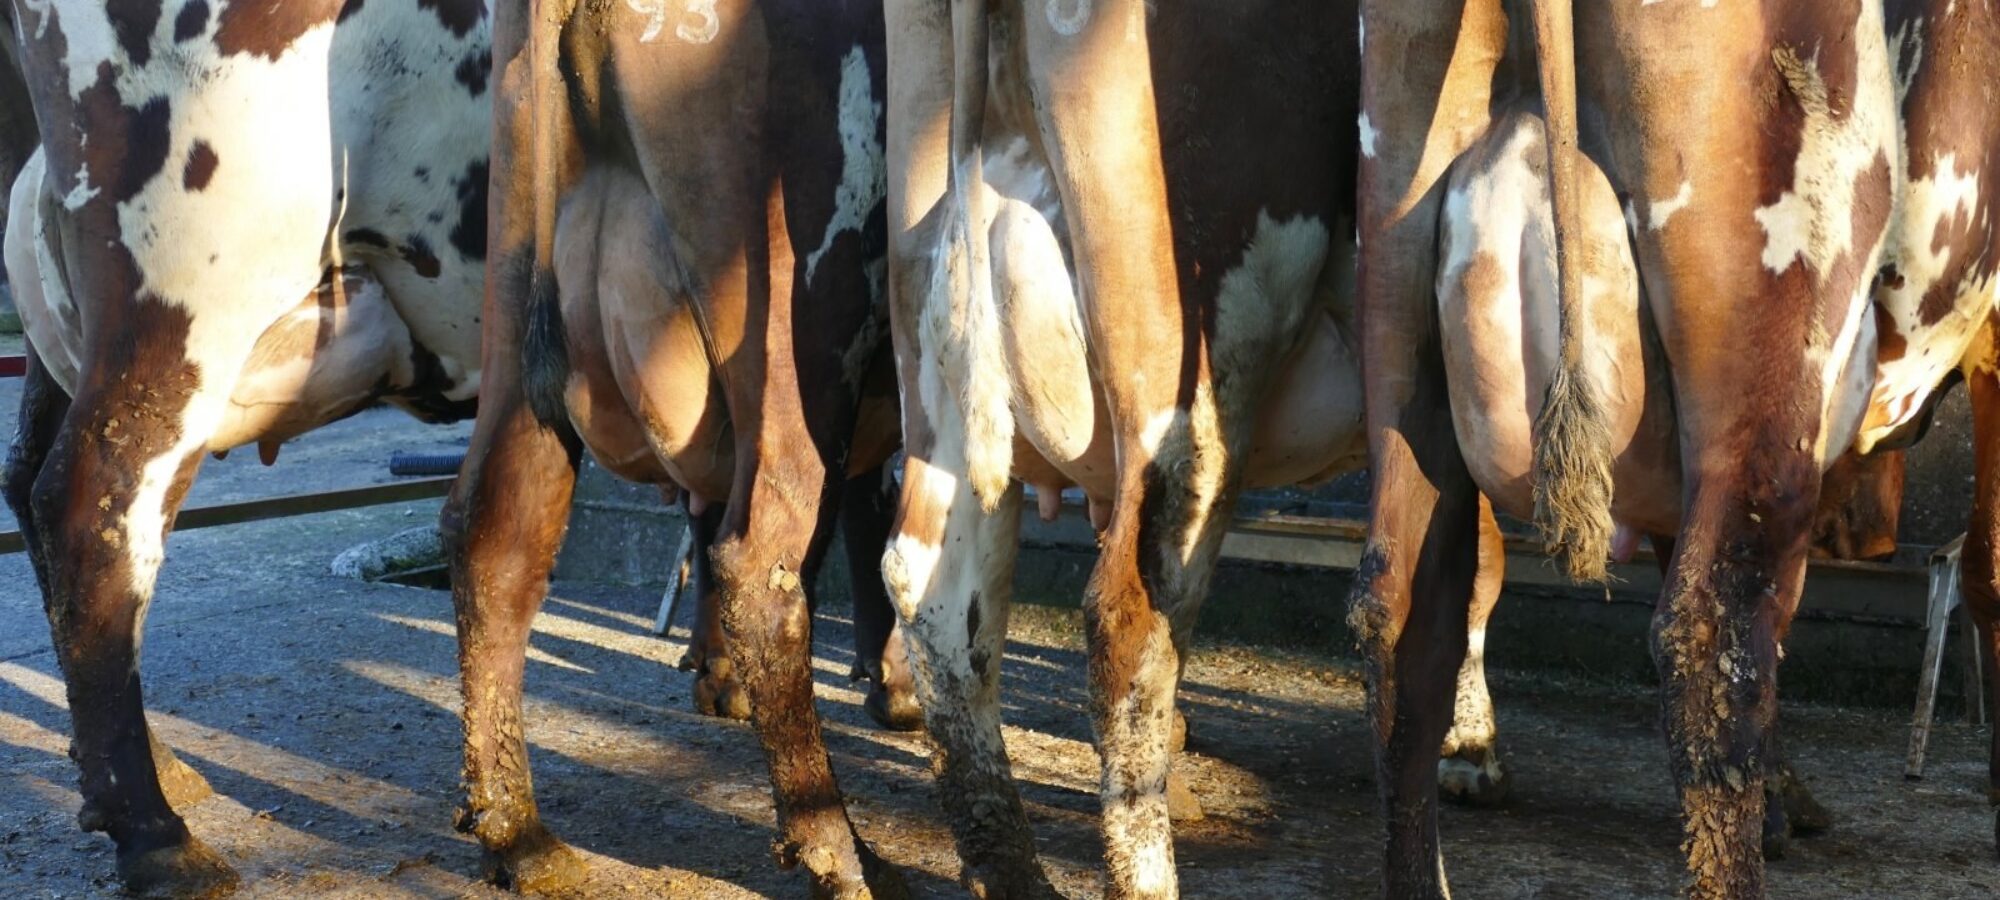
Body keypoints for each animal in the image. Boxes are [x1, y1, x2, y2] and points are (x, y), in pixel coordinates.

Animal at [441, 0, 912, 896]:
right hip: (803, 323)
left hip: (517, 329)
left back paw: (518, 834)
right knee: (763, 561)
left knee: (493, 542)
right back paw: (840, 851)